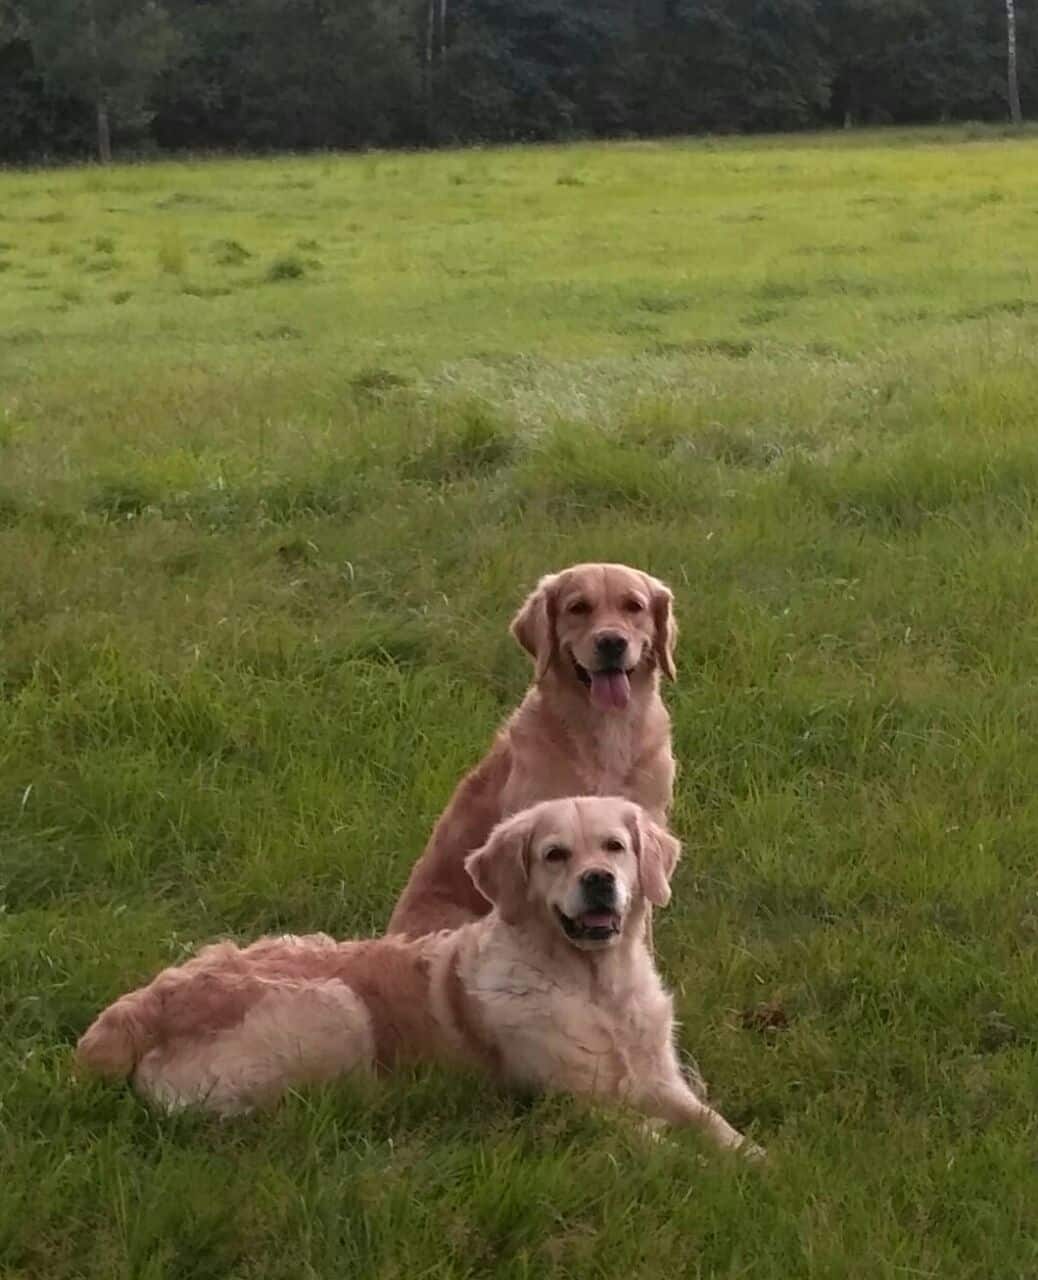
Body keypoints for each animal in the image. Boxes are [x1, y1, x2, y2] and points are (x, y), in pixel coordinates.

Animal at [75, 793, 752, 1157]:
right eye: (555, 854)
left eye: (615, 846)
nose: (598, 881)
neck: (594, 987)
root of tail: (139, 1005)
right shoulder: (566, 1101)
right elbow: (654, 1139)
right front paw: (692, 1164)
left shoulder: (662, 1080)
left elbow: (715, 1125)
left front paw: (757, 1164)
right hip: (337, 1006)